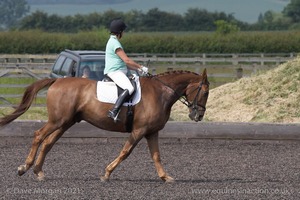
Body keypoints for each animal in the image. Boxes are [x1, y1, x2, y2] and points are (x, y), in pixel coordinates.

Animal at [0, 69, 210, 182]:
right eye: (206, 92)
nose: (198, 115)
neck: (160, 93)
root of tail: (57, 80)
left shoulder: (152, 132)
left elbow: (156, 156)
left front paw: (165, 177)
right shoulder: (139, 130)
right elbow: (125, 152)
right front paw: (107, 173)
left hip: (65, 122)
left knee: (48, 142)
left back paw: (39, 172)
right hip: (57, 121)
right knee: (38, 136)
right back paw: (24, 167)